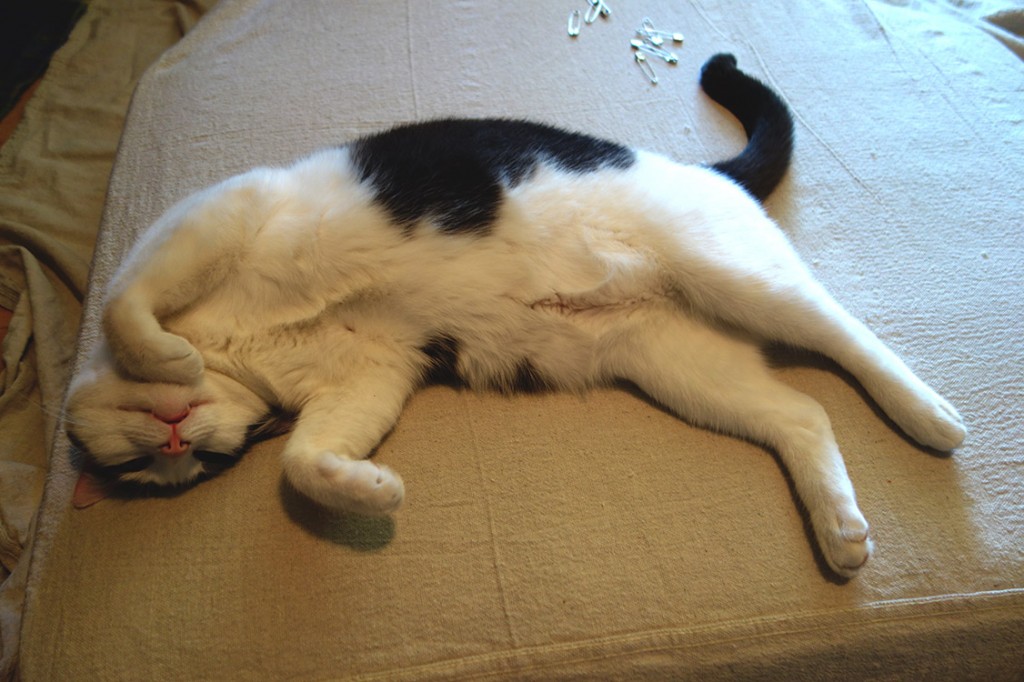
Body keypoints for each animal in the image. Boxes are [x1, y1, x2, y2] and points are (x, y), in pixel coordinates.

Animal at [66, 53, 966, 577]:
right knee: (804, 412)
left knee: (847, 333)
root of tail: (706, 170)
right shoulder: (371, 378)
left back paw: (928, 415)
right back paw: (840, 530)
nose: (177, 443)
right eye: (160, 473)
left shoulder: (216, 218)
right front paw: (375, 490)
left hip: (738, 277)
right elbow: (304, 461)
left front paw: (165, 357)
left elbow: (125, 305)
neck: (242, 353)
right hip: (683, 368)